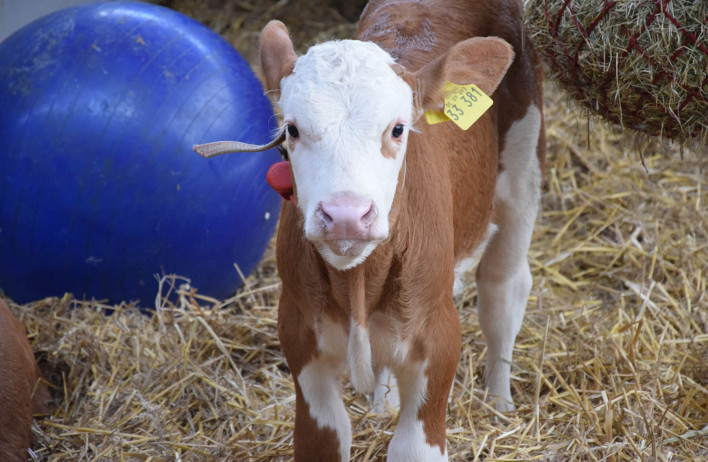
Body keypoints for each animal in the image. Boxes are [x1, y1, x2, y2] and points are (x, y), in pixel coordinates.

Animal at [196, 0, 544, 458]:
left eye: (397, 128)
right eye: (292, 129)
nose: (346, 214)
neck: (359, 282)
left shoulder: (438, 334)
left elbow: (412, 447)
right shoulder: (298, 330)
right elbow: (323, 438)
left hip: (522, 165)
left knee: (504, 287)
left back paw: (499, 401)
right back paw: (385, 401)